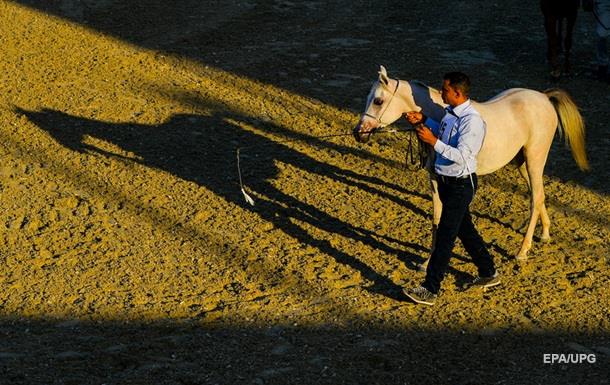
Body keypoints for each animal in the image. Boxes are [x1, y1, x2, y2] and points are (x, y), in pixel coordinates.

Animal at [354, 66, 588, 260]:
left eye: (378, 101)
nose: (358, 132)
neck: (443, 116)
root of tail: (544, 98)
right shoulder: (435, 180)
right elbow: (437, 218)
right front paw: (427, 262)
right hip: (523, 163)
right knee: (538, 195)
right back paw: (545, 234)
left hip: (535, 159)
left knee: (536, 198)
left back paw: (522, 251)